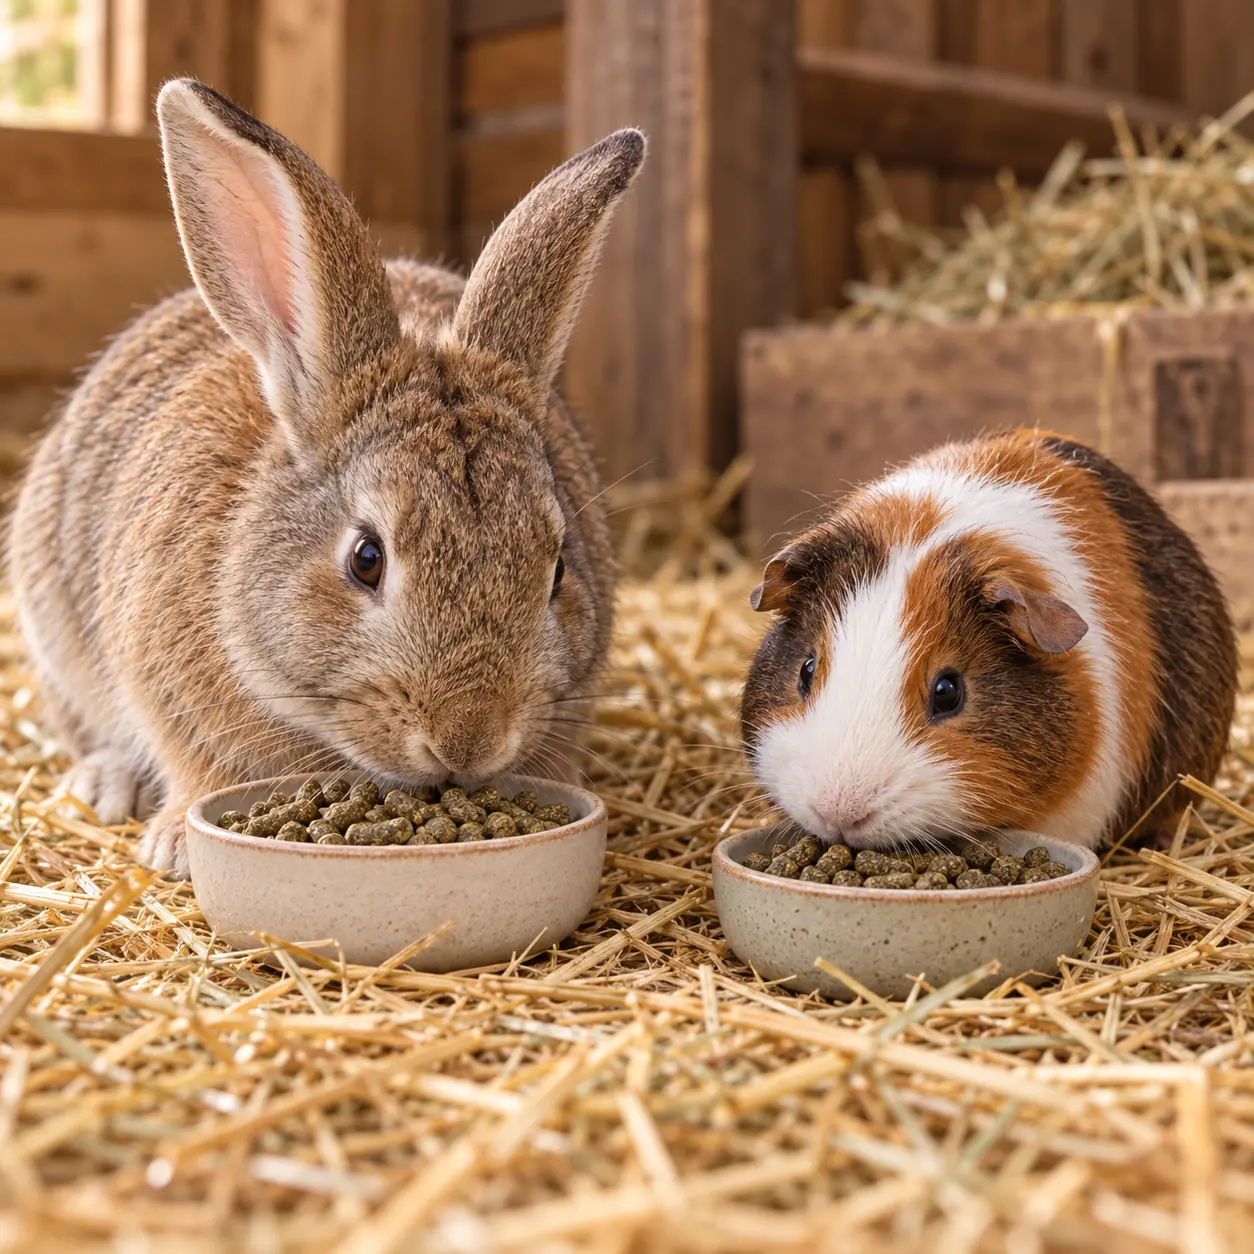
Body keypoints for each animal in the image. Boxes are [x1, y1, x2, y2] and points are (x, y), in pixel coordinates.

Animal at [9, 78, 645, 878]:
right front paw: (178, 845)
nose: (467, 738)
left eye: (557, 570)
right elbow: (193, 767)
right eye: (365, 560)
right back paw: (105, 784)